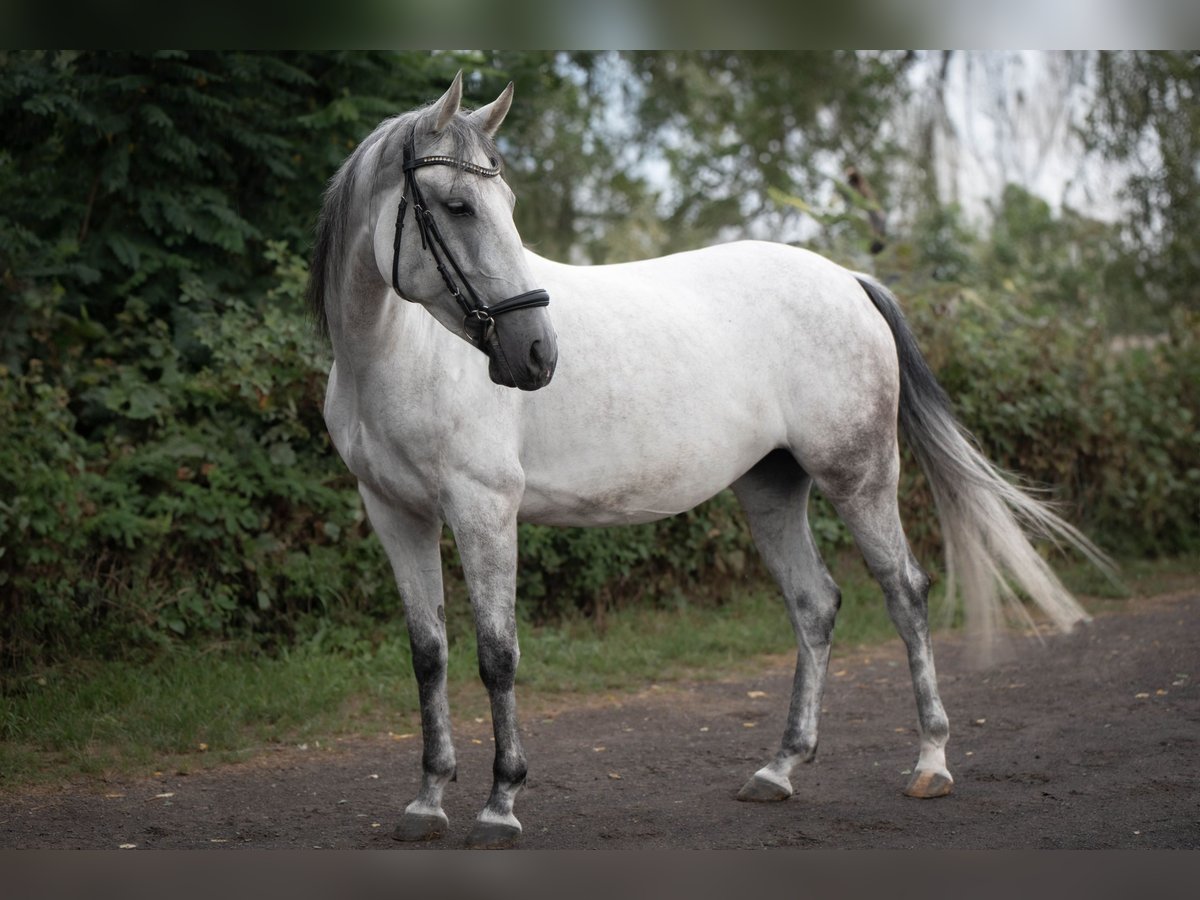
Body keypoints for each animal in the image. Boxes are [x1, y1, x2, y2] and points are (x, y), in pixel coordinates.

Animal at [307, 74, 1104, 849]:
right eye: (457, 205)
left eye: (503, 205)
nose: (537, 354)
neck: (399, 357)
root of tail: (847, 280)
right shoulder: (397, 515)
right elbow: (429, 653)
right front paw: (427, 800)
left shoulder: (483, 509)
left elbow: (497, 655)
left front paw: (501, 805)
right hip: (772, 487)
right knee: (815, 603)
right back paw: (780, 768)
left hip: (860, 475)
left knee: (904, 591)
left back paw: (930, 762)